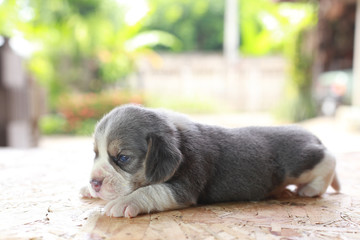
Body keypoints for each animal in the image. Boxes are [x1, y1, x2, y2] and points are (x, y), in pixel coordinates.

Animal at [80, 105, 338, 218]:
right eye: (95, 153)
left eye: (122, 158)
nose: (94, 183)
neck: (177, 135)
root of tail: (311, 135)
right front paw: (86, 188)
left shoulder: (183, 187)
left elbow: (150, 190)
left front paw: (124, 202)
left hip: (300, 161)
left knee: (328, 157)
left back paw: (311, 188)